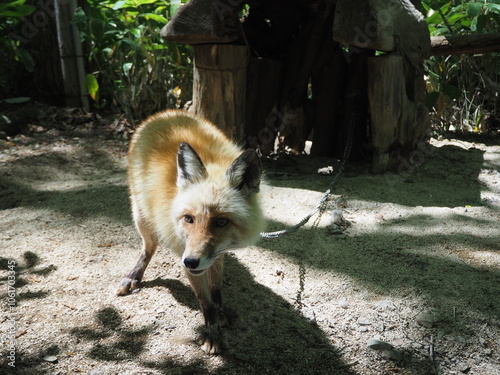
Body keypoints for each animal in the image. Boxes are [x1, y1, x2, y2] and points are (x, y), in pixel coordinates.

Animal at [117, 110, 266, 354]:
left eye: (221, 222)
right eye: (189, 219)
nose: (191, 262)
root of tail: (165, 114)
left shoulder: (217, 254)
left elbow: (216, 289)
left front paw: (221, 311)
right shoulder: (183, 252)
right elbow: (205, 301)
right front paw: (213, 333)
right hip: (141, 217)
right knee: (148, 250)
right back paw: (133, 276)